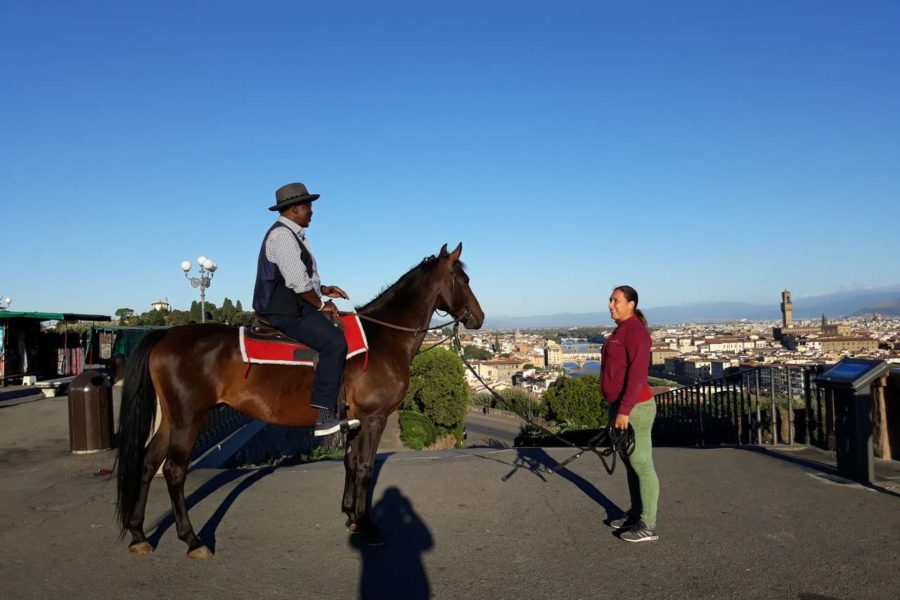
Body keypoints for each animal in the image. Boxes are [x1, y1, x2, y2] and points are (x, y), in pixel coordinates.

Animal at [118, 244, 486, 556]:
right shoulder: (373, 418)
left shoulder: (353, 421)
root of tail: (166, 335)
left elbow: (350, 463)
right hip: (189, 417)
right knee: (174, 470)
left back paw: (138, 534)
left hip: (172, 418)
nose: (479, 318)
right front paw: (367, 524)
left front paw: (351, 516)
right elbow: (365, 468)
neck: (383, 337)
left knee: (148, 462)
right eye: (464, 279)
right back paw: (192, 539)